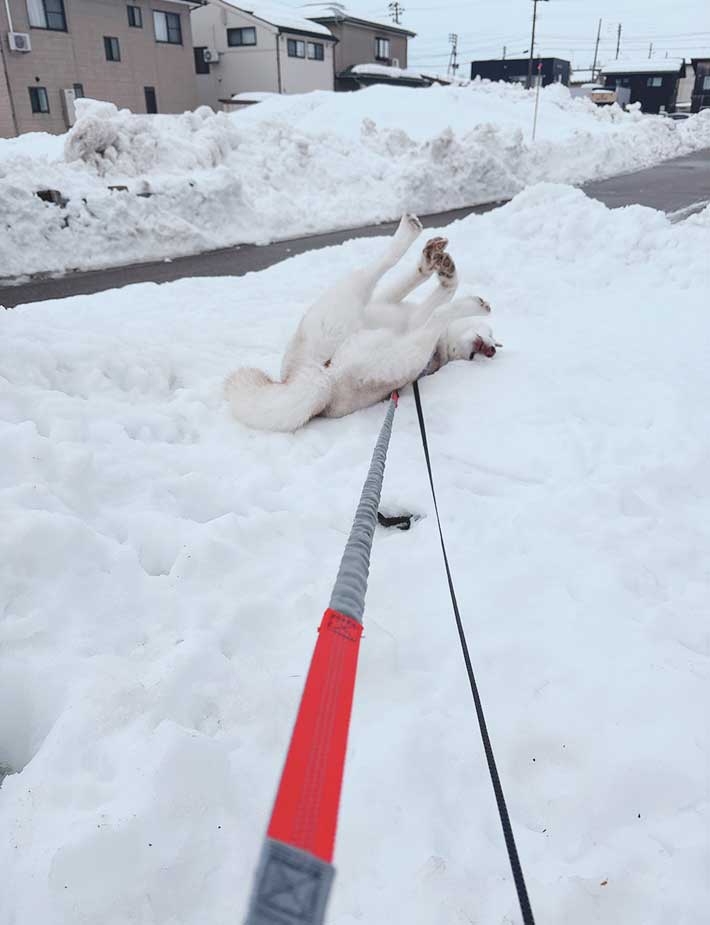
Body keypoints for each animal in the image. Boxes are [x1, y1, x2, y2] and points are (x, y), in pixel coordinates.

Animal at [225, 212, 498, 430]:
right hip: (347, 309)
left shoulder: (414, 321)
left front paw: (442, 275)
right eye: (494, 336)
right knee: (379, 269)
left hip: (399, 350)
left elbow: (440, 299)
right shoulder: (390, 301)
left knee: (430, 312)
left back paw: (473, 303)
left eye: (495, 343)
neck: (442, 346)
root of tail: (321, 380)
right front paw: (432, 266)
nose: (492, 350)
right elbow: (414, 284)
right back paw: (417, 238)